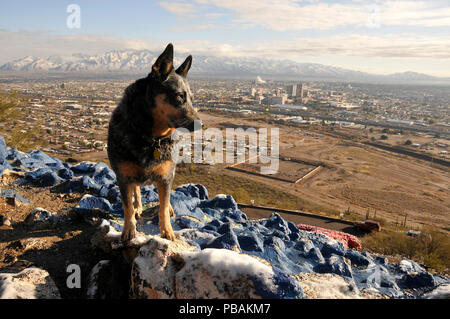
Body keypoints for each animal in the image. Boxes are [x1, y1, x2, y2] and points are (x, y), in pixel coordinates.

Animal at [107, 43, 200, 242]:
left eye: (191, 98)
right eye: (179, 96)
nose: (200, 123)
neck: (150, 138)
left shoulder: (166, 176)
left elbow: (163, 206)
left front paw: (167, 231)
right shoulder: (123, 177)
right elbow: (127, 207)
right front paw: (129, 230)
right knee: (136, 191)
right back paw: (138, 206)